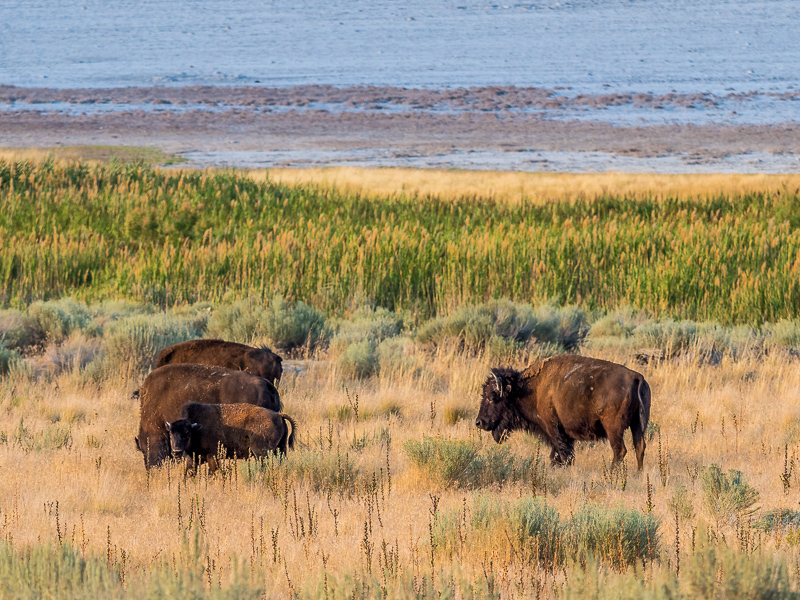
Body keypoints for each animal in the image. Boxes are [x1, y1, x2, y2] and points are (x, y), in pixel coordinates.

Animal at [476, 354, 648, 472]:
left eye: (492, 397)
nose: (479, 422)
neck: (528, 389)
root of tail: (636, 376)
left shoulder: (553, 428)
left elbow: (563, 454)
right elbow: (559, 455)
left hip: (613, 427)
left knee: (620, 450)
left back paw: (611, 475)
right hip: (637, 424)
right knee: (639, 447)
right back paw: (638, 474)